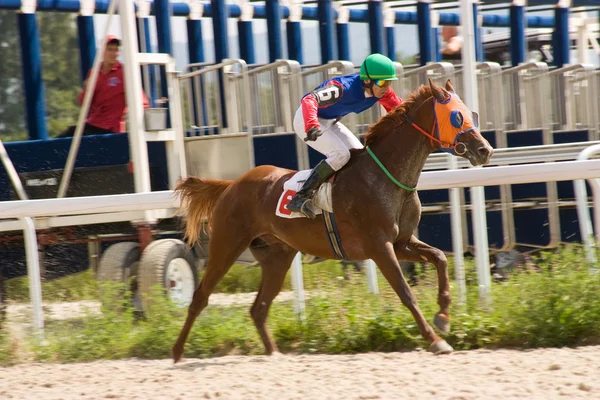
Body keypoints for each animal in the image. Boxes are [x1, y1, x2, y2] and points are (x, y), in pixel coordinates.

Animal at [171, 79, 494, 360]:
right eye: (456, 117)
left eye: (471, 113)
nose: (485, 150)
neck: (385, 176)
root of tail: (231, 185)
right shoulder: (380, 247)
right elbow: (406, 293)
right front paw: (436, 339)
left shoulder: (401, 242)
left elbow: (439, 257)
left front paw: (443, 317)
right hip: (226, 245)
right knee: (200, 296)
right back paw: (176, 352)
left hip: (277, 256)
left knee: (259, 308)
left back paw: (274, 353)